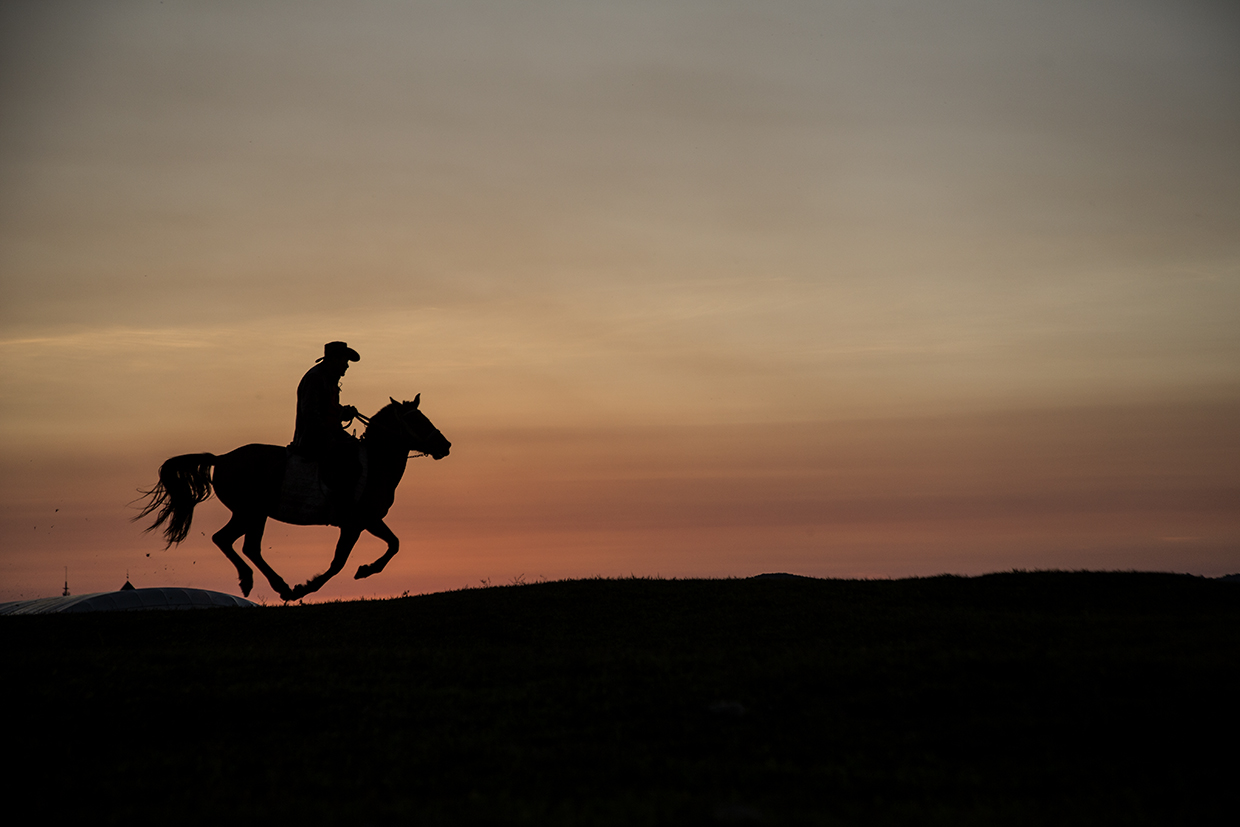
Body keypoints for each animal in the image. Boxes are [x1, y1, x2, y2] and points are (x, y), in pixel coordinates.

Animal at [140, 396, 451, 602]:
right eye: (416, 419)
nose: (444, 445)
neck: (375, 463)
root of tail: (222, 458)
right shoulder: (355, 523)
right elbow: (340, 562)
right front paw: (311, 586)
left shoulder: (369, 521)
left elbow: (393, 544)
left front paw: (365, 569)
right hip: (251, 512)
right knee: (239, 543)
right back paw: (278, 586)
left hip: (250, 514)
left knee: (234, 542)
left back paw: (257, 582)